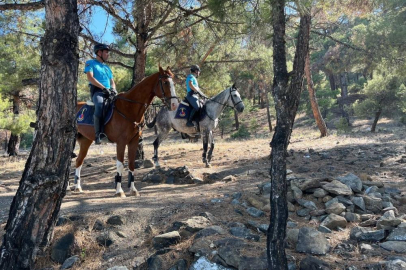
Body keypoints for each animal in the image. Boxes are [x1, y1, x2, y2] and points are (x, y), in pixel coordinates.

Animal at [73, 66, 178, 197]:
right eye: (165, 82)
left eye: (173, 83)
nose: (174, 105)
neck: (129, 108)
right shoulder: (121, 142)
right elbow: (120, 164)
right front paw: (119, 191)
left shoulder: (133, 141)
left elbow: (131, 164)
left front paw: (133, 190)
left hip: (85, 141)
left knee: (79, 161)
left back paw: (77, 187)